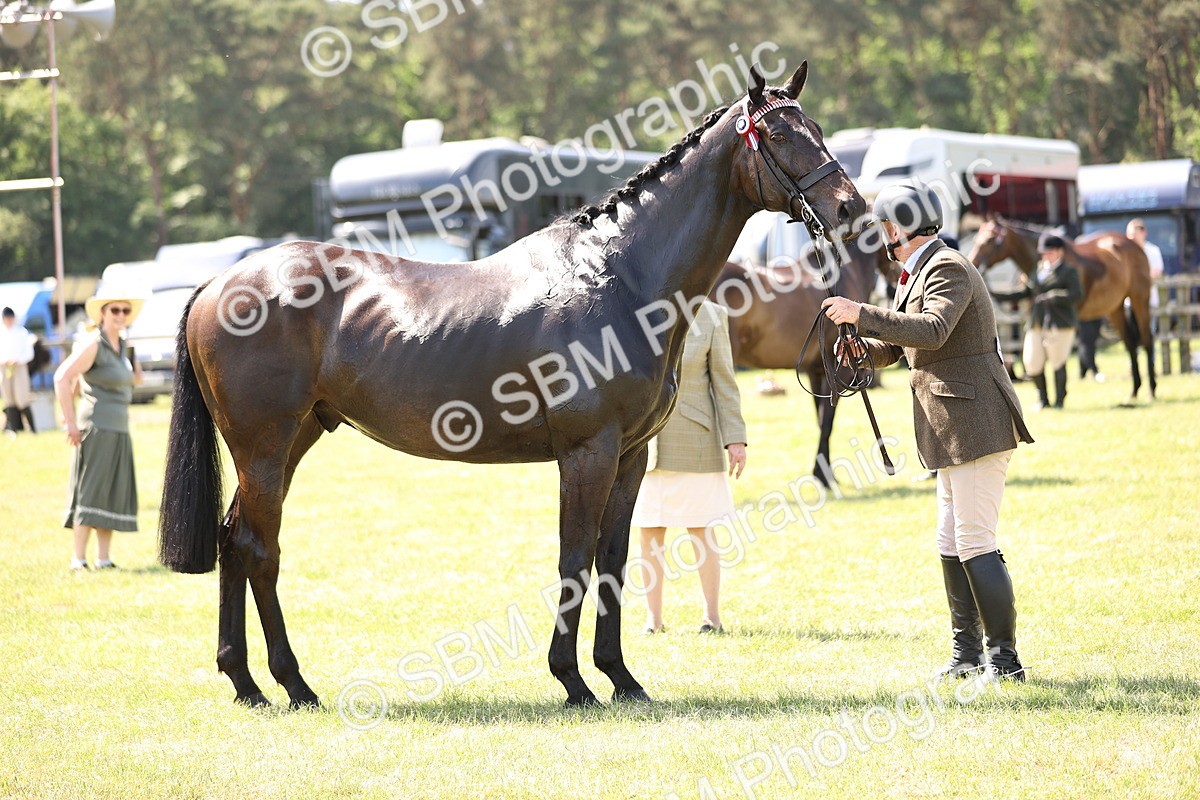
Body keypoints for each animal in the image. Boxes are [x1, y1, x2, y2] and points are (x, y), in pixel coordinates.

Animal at [157, 62, 866, 709]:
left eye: (817, 128)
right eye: (777, 132)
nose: (850, 206)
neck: (619, 275)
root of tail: (221, 282)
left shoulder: (630, 456)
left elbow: (612, 561)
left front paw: (622, 679)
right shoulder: (587, 453)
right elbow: (575, 559)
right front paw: (574, 682)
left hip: (292, 441)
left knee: (233, 542)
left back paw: (246, 683)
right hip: (265, 449)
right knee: (259, 548)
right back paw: (292, 684)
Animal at [709, 233, 885, 486]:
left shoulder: (816, 371)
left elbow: (820, 419)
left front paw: (822, 472)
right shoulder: (838, 371)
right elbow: (827, 421)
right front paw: (825, 477)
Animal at [968, 217, 1156, 400]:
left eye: (990, 239)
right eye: (976, 238)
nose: (973, 262)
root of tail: (1134, 245)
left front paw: (1060, 395)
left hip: (1140, 299)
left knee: (1147, 341)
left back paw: (1151, 390)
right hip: (1115, 309)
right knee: (1130, 344)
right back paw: (1134, 391)